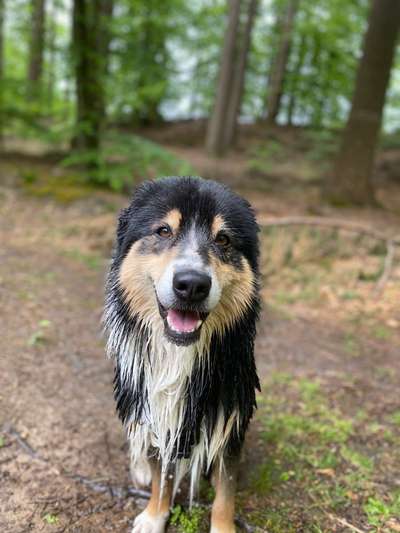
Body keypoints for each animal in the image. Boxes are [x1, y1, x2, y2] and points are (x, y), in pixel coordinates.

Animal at [103, 177, 260, 528]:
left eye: (223, 239)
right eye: (163, 231)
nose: (192, 285)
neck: (178, 353)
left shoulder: (228, 419)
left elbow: (225, 494)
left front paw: (223, 528)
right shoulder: (154, 411)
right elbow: (162, 477)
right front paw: (154, 517)